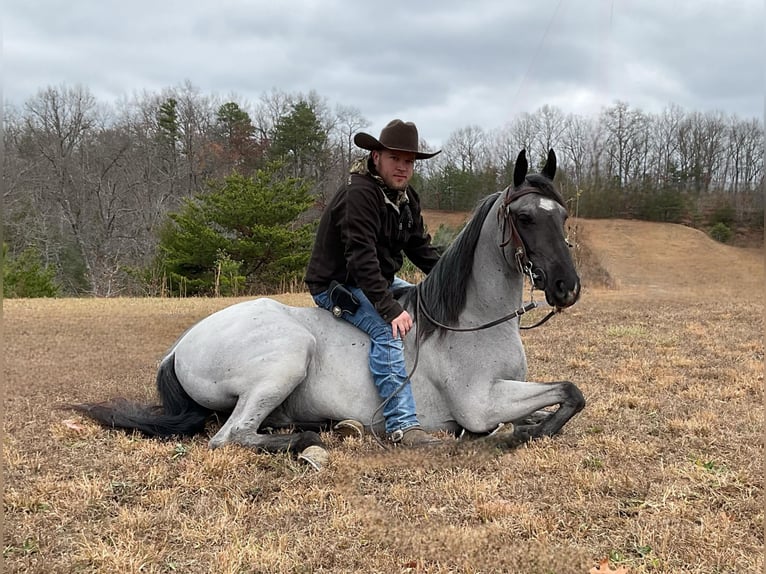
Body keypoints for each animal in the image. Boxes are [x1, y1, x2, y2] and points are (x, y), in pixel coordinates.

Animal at [75, 151, 584, 470]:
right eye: (524, 218)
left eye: (562, 215)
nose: (567, 287)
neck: (469, 323)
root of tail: (180, 347)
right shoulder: (480, 403)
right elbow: (569, 393)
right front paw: (517, 433)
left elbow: (566, 398)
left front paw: (529, 426)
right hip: (286, 358)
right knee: (231, 436)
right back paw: (313, 442)